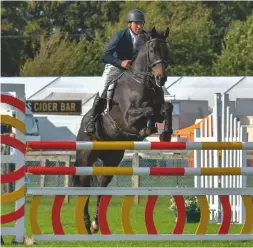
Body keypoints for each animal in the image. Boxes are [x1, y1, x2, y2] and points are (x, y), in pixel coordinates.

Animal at [72, 27, 173, 234]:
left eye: (166, 51)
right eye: (152, 51)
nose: (162, 78)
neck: (143, 81)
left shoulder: (159, 106)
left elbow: (166, 107)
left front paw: (166, 133)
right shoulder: (127, 117)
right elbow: (147, 111)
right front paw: (146, 129)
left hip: (112, 159)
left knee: (101, 186)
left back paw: (95, 223)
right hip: (85, 160)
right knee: (84, 190)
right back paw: (86, 224)